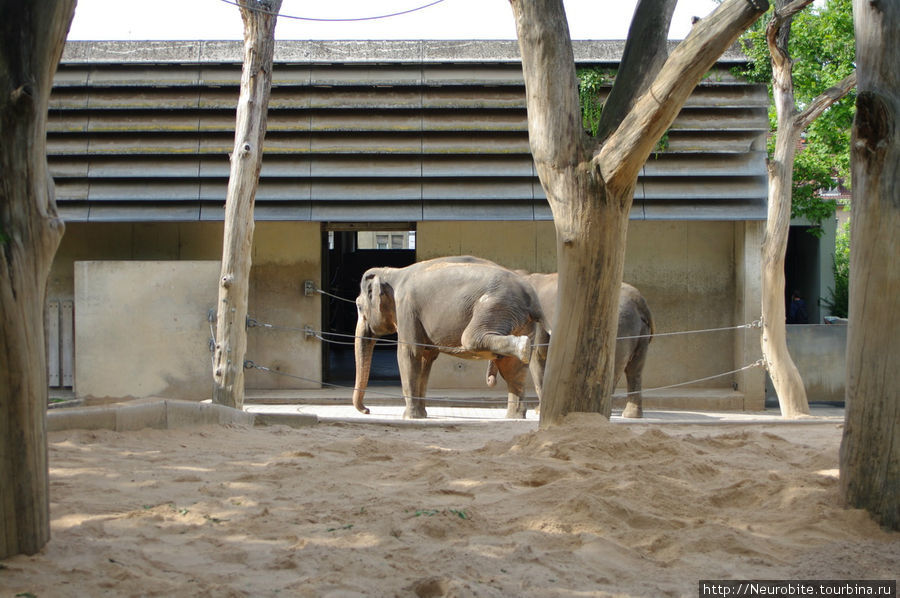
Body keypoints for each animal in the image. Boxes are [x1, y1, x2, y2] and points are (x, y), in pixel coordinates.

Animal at [352, 255, 548, 420]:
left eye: (359, 306)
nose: (367, 410)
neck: (392, 272)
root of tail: (532, 298)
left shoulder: (407, 309)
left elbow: (409, 353)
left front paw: (409, 417)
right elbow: (426, 358)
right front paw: (421, 415)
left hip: (495, 306)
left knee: (471, 339)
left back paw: (523, 346)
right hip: (518, 318)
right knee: (513, 368)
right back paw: (514, 417)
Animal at [488, 274, 656, 420]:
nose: (491, 382)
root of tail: (640, 302)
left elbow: (537, 358)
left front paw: (539, 411)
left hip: (619, 327)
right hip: (640, 331)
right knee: (635, 370)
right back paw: (630, 415)